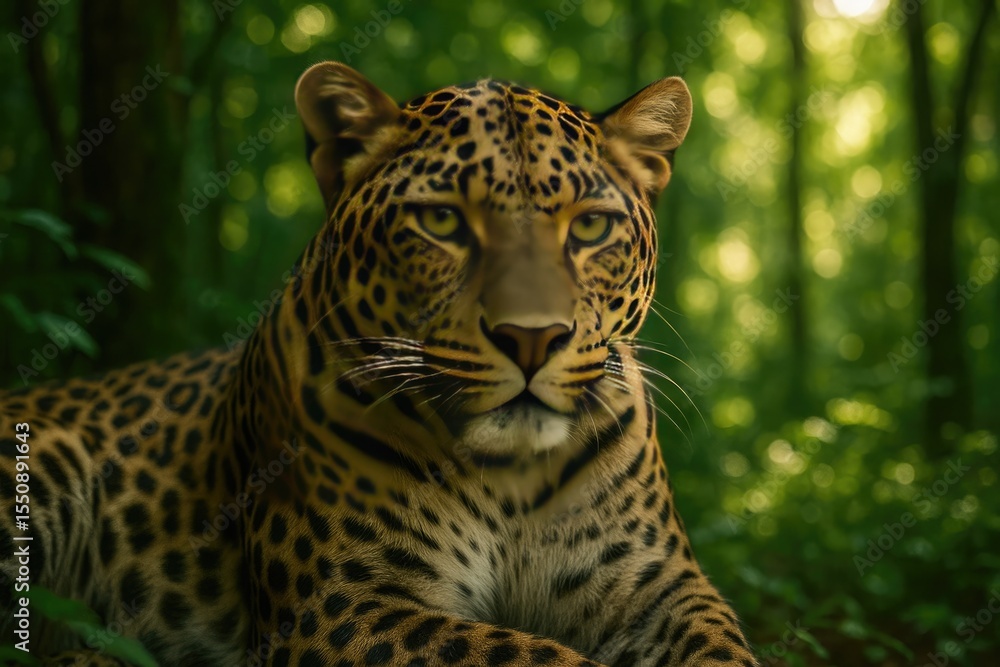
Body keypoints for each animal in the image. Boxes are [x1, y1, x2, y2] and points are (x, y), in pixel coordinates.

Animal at [0, 61, 759, 666]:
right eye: (443, 222)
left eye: (592, 227)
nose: (531, 338)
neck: (509, 477)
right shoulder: (342, 602)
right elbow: (527, 653)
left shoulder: (656, 584)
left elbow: (719, 643)